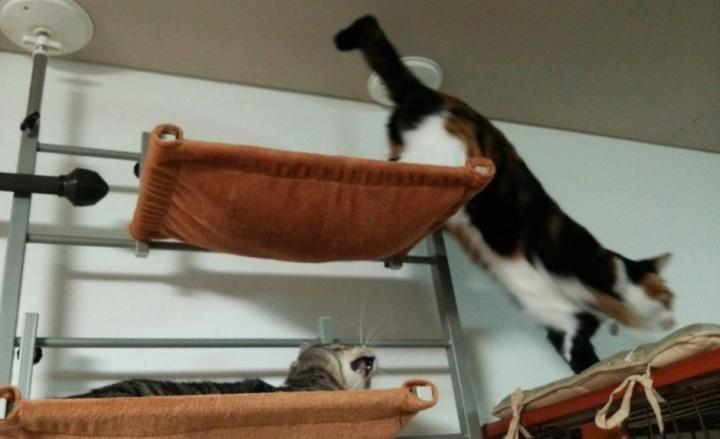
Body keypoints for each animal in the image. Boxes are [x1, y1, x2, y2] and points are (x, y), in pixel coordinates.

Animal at [335, 15, 675, 374]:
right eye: (668, 297)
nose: (673, 318)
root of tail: (428, 92)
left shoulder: (562, 321)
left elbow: (579, 355)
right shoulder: (568, 261)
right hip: (440, 151)